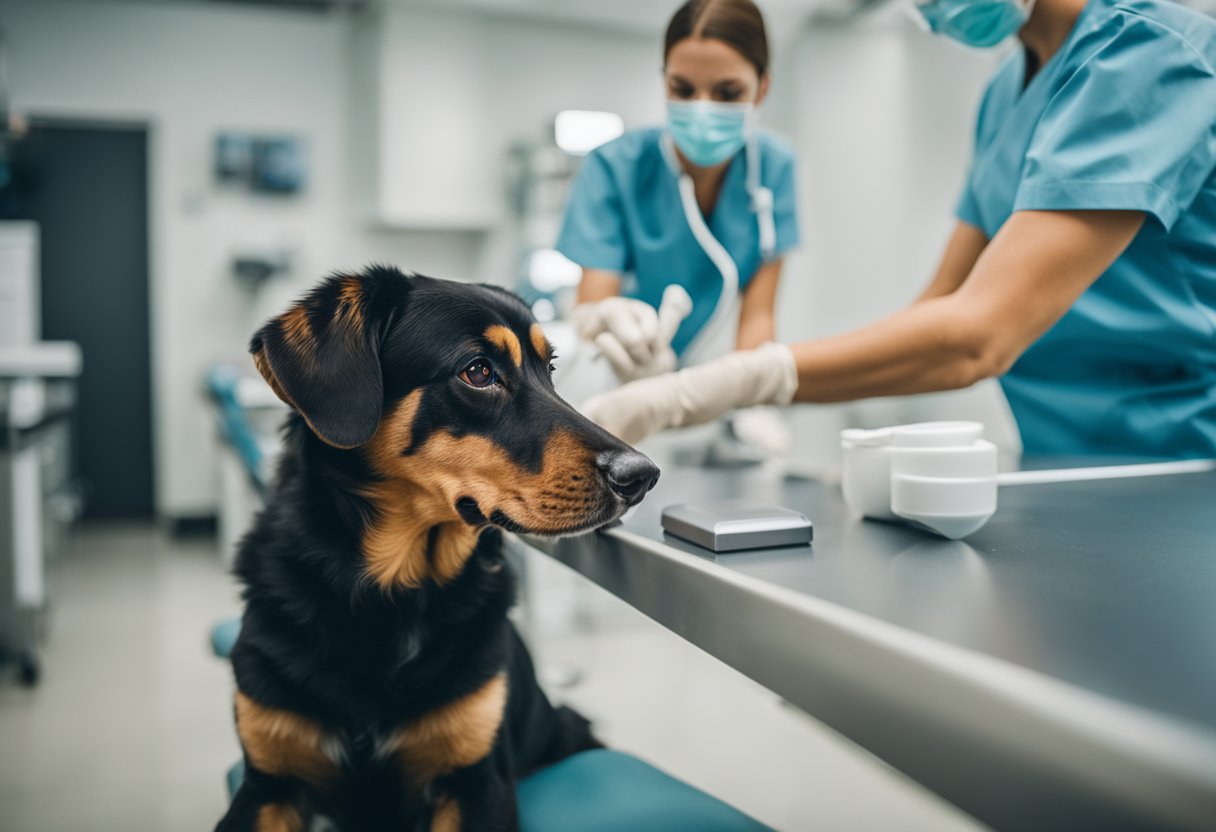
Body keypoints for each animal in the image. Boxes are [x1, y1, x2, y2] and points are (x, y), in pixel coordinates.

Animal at [216, 267, 656, 832]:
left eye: (550, 368)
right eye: (478, 371)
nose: (642, 476)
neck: (391, 593)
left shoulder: (476, 782)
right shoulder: (267, 785)